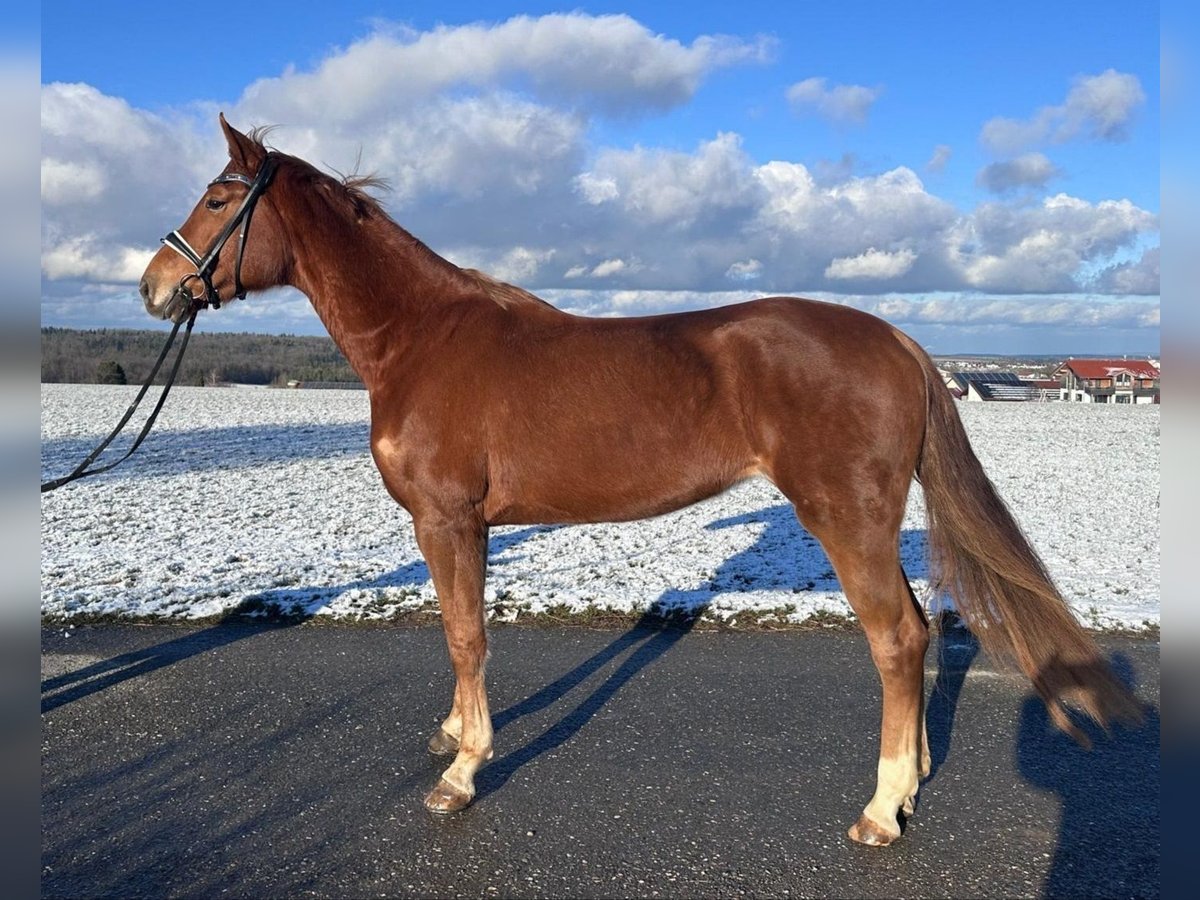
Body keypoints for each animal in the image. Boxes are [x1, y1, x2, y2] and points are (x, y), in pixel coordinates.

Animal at [136, 116, 1137, 849]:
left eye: (220, 196)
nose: (153, 286)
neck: (420, 339)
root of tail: (895, 338)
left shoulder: (447, 519)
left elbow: (464, 635)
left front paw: (462, 773)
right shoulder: (468, 525)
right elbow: (463, 634)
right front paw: (455, 736)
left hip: (846, 519)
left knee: (894, 641)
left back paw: (881, 811)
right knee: (923, 632)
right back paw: (915, 778)